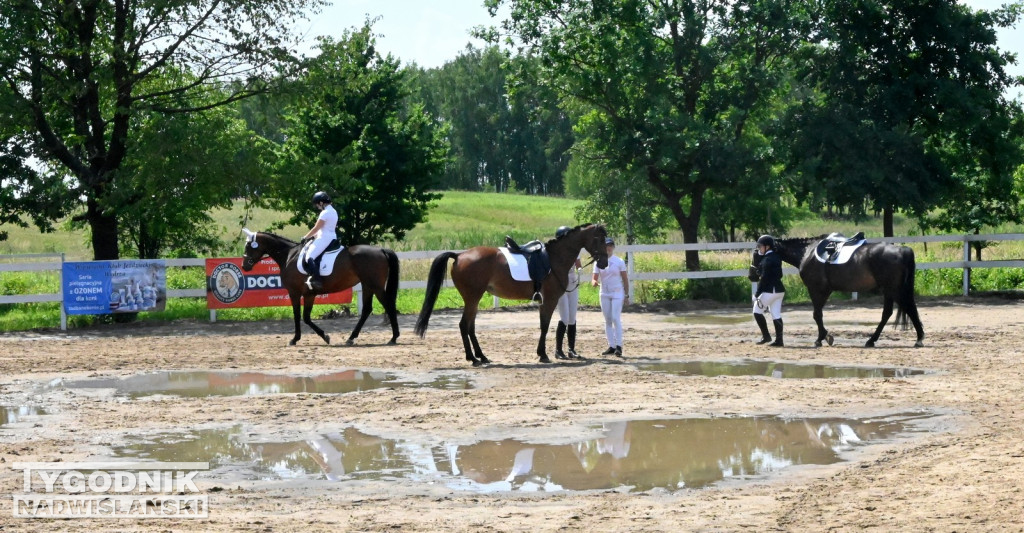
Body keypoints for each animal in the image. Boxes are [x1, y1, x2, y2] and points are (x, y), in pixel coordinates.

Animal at [239, 227, 399, 345]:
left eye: (249, 246)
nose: (245, 266)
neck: (289, 255)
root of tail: (380, 250)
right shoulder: (309, 294)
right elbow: (306, 317)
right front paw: (324, 336)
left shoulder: (294, 292)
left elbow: (298, 315)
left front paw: (295, 339)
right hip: (367, 285)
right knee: (366, 310)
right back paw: (351, 338)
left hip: (375, 286)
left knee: (389, 305)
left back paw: (393, 337)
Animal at [413, 220, 606, 366]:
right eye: (600, 238)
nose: (604, 263)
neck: (553, 259)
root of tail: (459, 256)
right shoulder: (549, 300)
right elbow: (544, 326)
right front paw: (542, 354)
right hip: (472, 298)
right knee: (463, 325)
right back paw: (473, 358)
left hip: (474, 299)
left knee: (470, 326)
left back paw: (481, 356)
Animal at [749, 235, 925, 347]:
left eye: (756, 254)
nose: (752, 276)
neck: (807, 252)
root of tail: (902, 250)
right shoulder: (825, 290)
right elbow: (818, 314)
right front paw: (825, 336)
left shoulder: (816, 289)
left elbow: (816, 314)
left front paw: (822, 337)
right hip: (890, 290)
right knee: (894, 312)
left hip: (892, 290)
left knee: (906, 309)